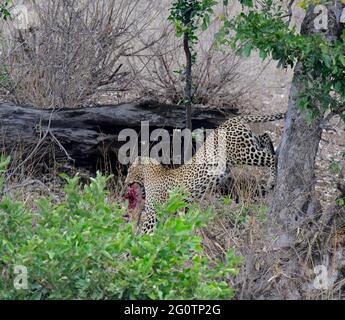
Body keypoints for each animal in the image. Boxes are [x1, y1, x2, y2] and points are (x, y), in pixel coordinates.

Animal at [123, 112, 284, 232]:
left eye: (130, 170)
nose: (125, 182)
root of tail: (232, 119)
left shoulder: (153, 212)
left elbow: (146, 231)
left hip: (243, 153)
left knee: (274, 158)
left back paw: (271, 181)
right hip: (249, 143)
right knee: (265, 137)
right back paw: (272, 151)